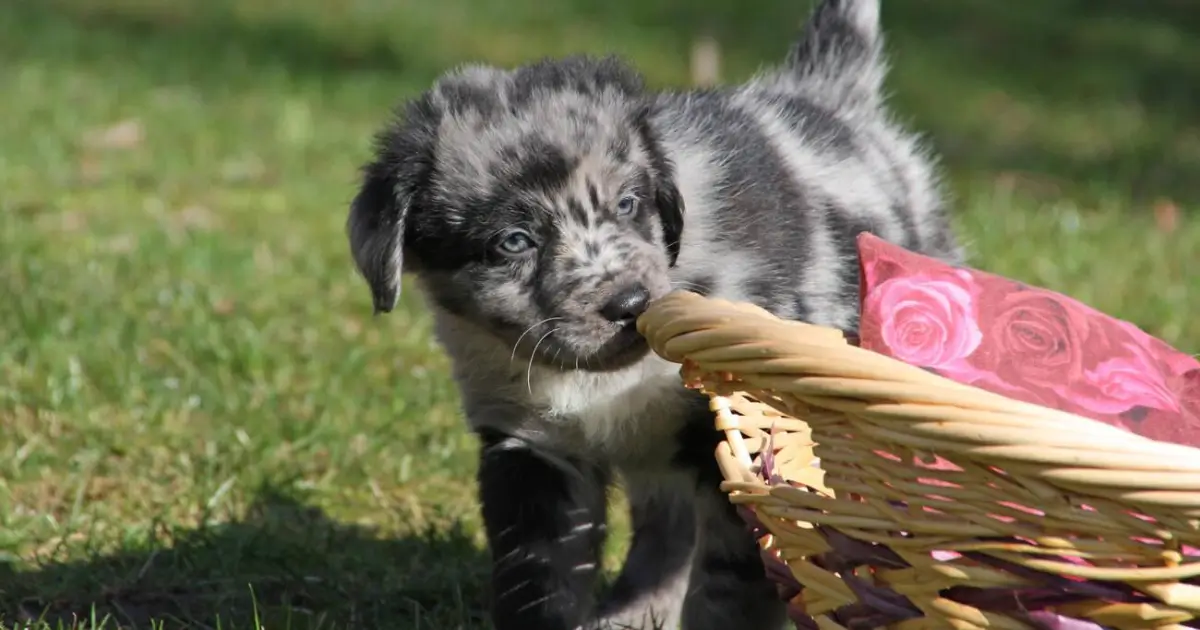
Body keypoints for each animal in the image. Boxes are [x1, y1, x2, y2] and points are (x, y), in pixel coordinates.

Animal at [350, 1, 964, 628]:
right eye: (514, 241)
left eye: (628, 204)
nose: (629, 305)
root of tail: (829, 96)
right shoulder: (532, 448)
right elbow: (540, 579)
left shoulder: (739, 446)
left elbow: (729, 590)